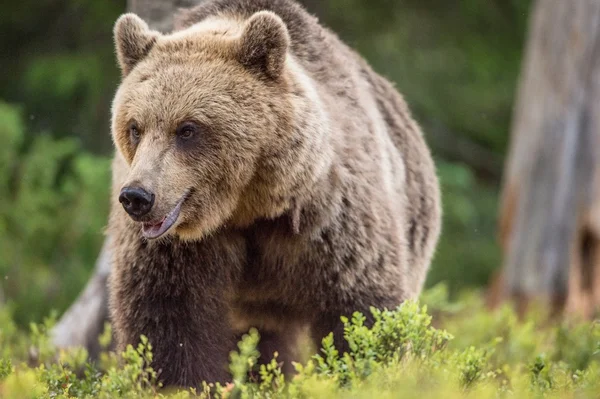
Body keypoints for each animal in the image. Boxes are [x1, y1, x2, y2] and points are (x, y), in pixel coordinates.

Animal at [106, 0, 440, 390]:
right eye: (135, 127)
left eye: (187, 128)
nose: (137, 197)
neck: (247, 207)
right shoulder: (176, 251)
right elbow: (169, 322)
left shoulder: (330, 219)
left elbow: (361, 311)